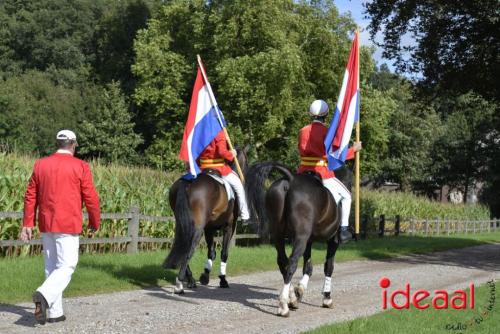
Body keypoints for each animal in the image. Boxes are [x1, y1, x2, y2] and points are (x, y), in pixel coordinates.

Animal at [163, 147, 249, 294]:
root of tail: (187, 182)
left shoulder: (209, 228)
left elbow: (212, 252)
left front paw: (205, 276)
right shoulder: (229, 227)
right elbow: (224, 253)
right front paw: (222, 280)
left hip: (182, 225)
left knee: (182, 245)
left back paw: (190, 280)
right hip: (197, 228)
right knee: (188, 249)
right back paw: (180, 284)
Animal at [245, 163, 352, 318]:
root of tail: (291, 179)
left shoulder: (308, 240)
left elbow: (308, 267)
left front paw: (299, 291)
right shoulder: (332, 241)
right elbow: (328, 267)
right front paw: (327, 298)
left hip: (279, 236)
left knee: (283, 263)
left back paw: (291, 298)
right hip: (300, 238)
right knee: (291, 264)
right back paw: (283, 306)